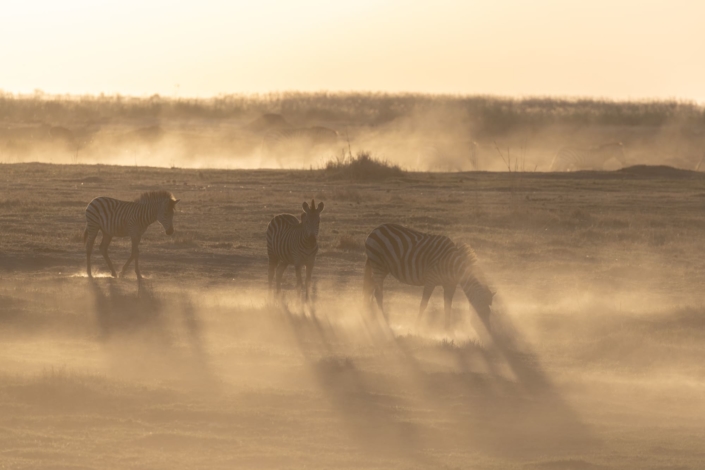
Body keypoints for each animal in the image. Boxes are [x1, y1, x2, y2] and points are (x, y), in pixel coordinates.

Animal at [364, 223, 496, 326]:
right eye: (481, 311)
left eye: (489, 312)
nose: (488, 332)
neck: (453, 265)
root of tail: (376, 229)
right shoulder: (431, 280)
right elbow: (423, 304)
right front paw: (416, 327)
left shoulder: (450, 285)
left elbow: (448, 307)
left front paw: (448, 331)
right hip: (378, 265)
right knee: (378, 294)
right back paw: (384, 321)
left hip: (382, 267)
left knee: (370, 289)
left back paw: (371, 317)